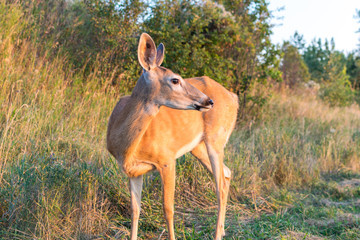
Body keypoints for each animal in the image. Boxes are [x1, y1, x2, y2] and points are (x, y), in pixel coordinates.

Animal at [106, 33, 239, 240]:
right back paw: (223, 229)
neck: (126, 146)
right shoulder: (133, 170)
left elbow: (168, 209)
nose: (208, 101)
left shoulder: (167, 159)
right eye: (175, 80)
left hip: (216, 139)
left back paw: (218, 233)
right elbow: (135, 209)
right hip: (198, 147)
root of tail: (234, 97)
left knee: (220, 186)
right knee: (227, 173)